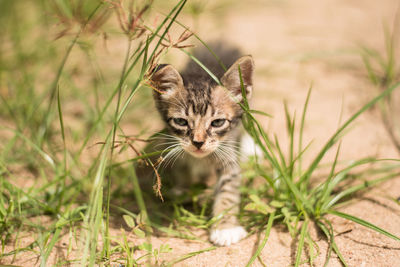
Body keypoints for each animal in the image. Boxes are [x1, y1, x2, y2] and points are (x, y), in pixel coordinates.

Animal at [146, 52, 253, 247]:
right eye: (181, 121)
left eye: (217, 122)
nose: (198, 142)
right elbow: (181, 169)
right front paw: (184, 190)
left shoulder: (227, 157)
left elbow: (228, 190)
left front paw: (225, 227)